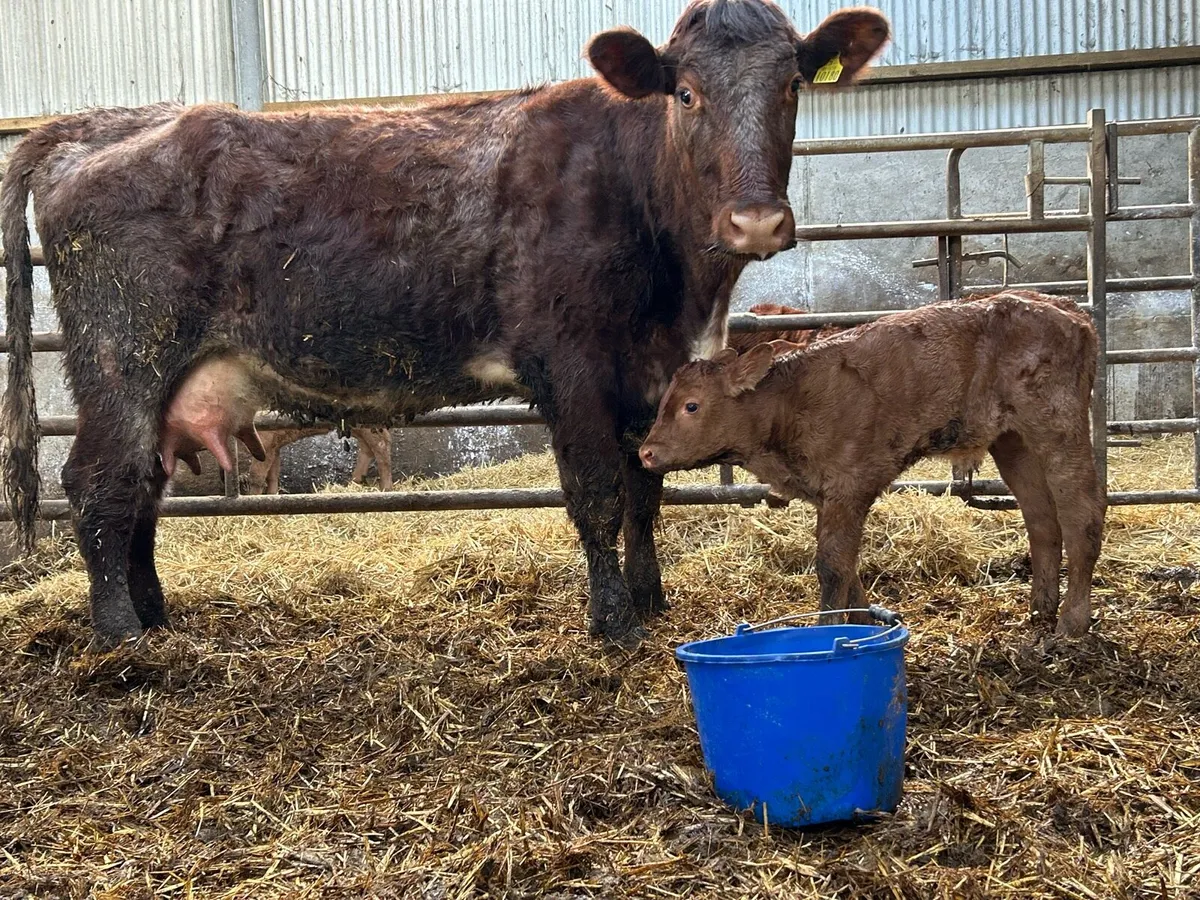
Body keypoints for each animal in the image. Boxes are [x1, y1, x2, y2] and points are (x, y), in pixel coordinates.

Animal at [245, 427, 393, 495]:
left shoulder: (265, 439)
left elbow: (257, 475)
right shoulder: (274, 445)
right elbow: (272, 474)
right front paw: (272, 495)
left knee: (381, 444)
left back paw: (386, 487)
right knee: (367, 447)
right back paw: (354, 482)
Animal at [639, 291, 1106, 637]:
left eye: (692, 406)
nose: (646, 453)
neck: (791, 398)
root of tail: (1065, 309)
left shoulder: (849, 485)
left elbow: (831, 564)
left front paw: (826, 630)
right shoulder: (825, 494)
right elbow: (846, 565)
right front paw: (865, 621)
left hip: (1057, 427)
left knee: (1082, 512)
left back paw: (1070, 623)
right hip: (1013, 442)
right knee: (1041, 519)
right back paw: (1040, 611)